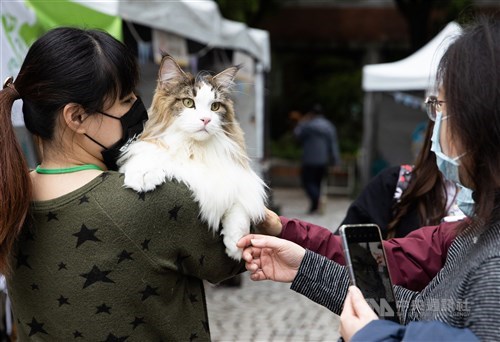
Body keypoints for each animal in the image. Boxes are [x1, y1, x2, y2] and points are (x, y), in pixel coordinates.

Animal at [117, 55, 268, 260]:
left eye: (215, 107)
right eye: (189, 103)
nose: (206, 120)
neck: (194, 147)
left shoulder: (237, 177)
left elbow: (239, 206)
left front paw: (237, 243)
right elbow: (146, 157)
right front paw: (143, 174)